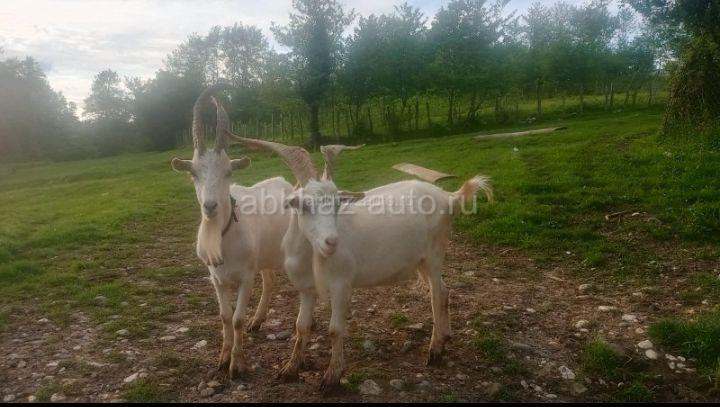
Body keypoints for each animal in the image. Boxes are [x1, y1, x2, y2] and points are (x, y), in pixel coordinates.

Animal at [170, 85, 294, 378]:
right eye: (193, 173)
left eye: (228, 172)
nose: (210, 206)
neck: (224, 237)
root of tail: (284, 181)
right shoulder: (216, 278)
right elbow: (225, 317)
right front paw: (222, 358)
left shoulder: (246, 277)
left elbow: (237, 319)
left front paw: (237, 365)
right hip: (264, 256)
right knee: (270, 282)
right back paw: (257, 321)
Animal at [229, 136, 493, 389]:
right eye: (303, 205)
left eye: (337, 203)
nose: (332, 242)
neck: (312, 255)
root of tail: (449, 197)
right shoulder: (306, 289)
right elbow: (301, 326)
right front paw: (289, 369)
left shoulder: (341, 284)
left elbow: (335, 330)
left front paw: (331, 377)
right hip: (421, 261)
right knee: (445, 292)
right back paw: (445, 337)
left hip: (434, 255)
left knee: (437, 296)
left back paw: (435, 350)